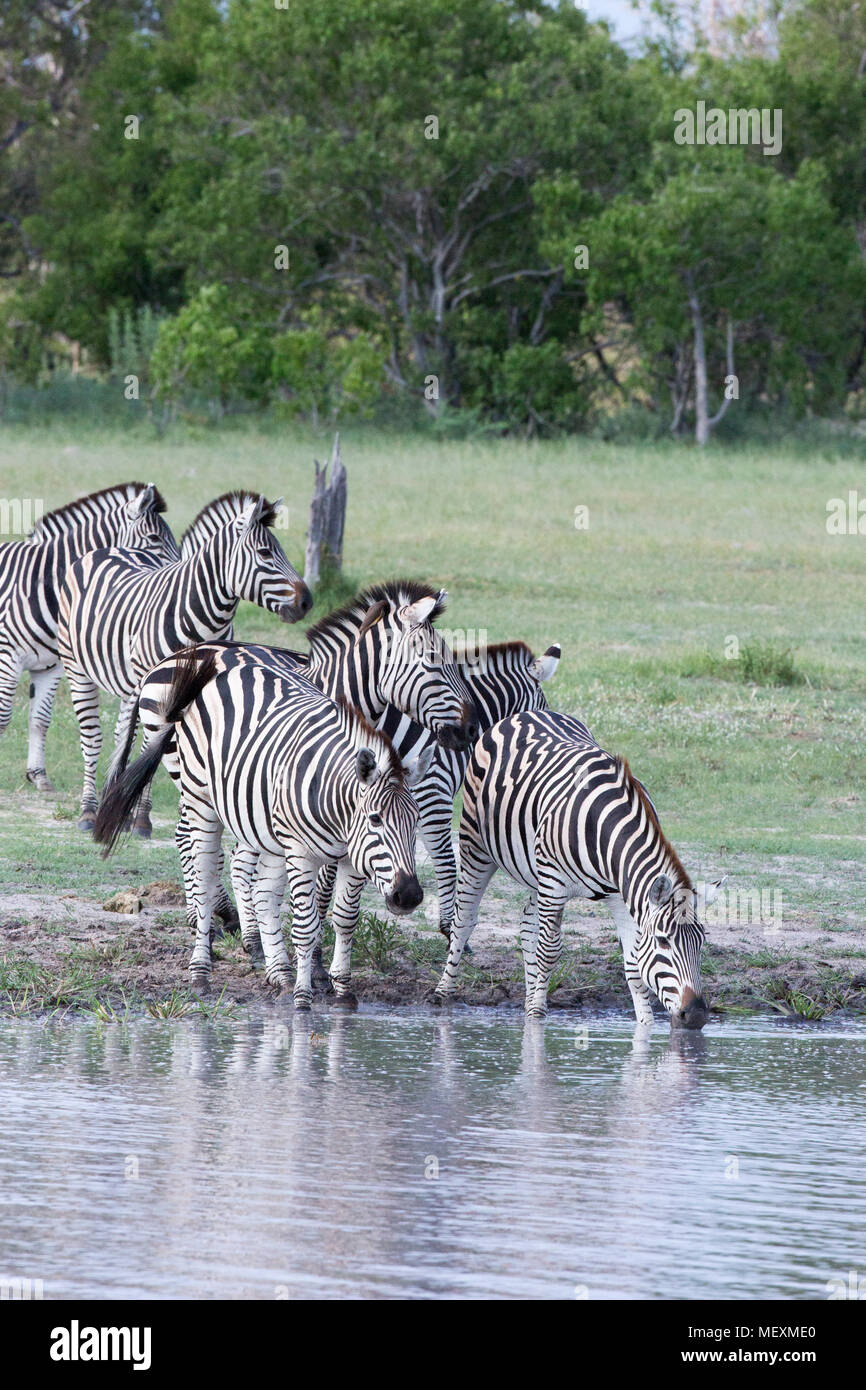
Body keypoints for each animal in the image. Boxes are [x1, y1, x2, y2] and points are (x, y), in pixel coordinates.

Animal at [0, 486, 177, 795]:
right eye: (155, 538)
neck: (44, 583)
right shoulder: (8, 656)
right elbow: (3, 718)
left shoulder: (50, 666)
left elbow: (40, 720)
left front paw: (39, 775)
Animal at [54, 494, 311, 828]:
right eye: (265, 553)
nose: (307, 602)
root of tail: (108, 549)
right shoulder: (159, 687)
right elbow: (155, 746)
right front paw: (146, 817)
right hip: (77, 668)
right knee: (93, 736)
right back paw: (88, 809)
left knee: (123, 733)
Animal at [93, 644, 433, 1006]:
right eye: (375, 819)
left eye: (415, 823)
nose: (408, 896)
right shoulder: (301, 853)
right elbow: (306, 927)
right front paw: (303, 998)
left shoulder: (352, 858)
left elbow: (344, 920)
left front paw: (342, 992)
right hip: (202, 801)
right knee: (204, 879)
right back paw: (201, 972)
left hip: (267, 829)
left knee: (264, 894)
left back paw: (278, 972)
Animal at [430, 711, 722, 1028]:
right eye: (663, 941)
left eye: (701, 942)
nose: (695, 1014)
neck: (607, 831)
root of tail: (527, 714)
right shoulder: (555, 885)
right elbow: (548, 951)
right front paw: (537, 1019)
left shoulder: (620, 896)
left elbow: (634, 966)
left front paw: (644, 1026)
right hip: (477, 845)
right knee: (464, 920)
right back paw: (444, 994)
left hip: (535, 873)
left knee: (527, 924)